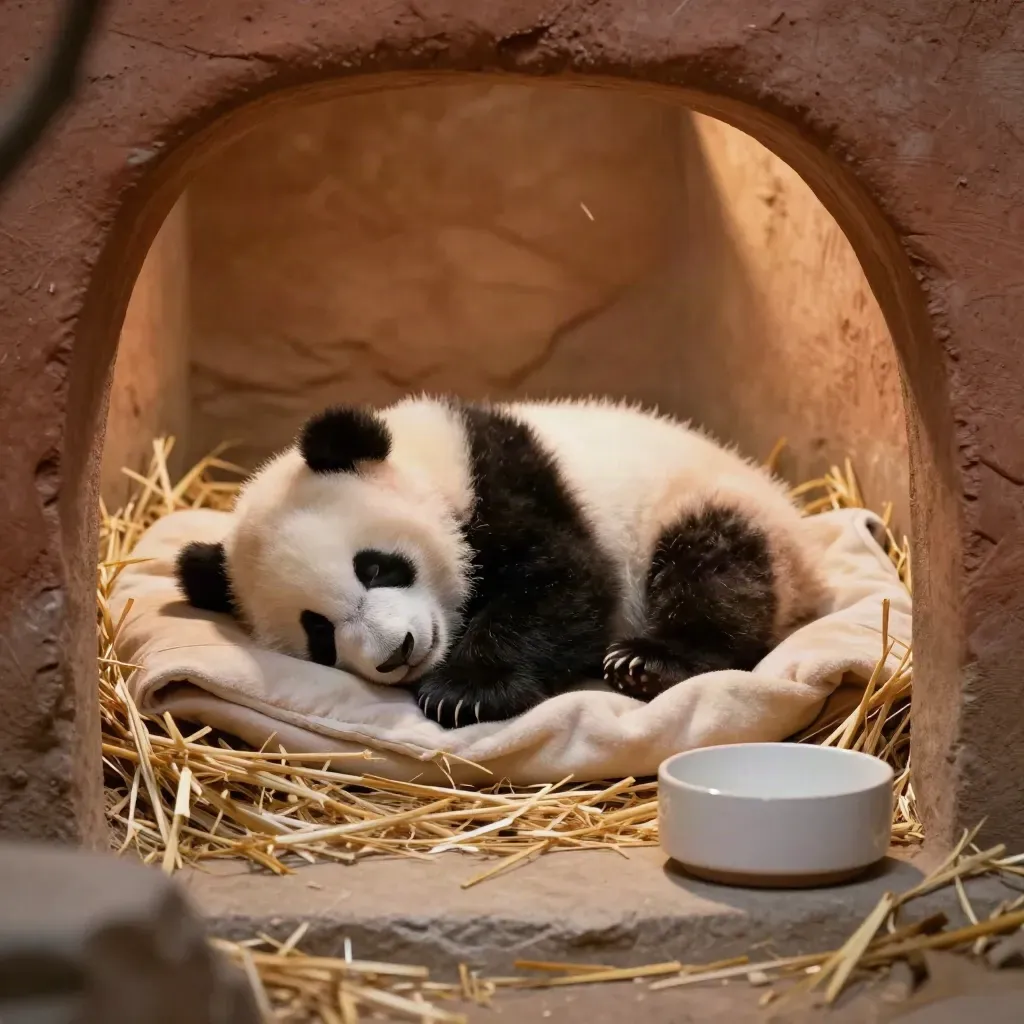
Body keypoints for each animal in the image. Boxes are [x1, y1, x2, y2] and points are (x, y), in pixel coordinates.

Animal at [175, 395, 825, 729]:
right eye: (318, 633)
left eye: (376, 567)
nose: (396, 652)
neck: (423, 462)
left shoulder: (506, 481)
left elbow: (564, 582)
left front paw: (465, 691)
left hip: (708, 505)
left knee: (716, 574)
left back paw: (647, 662)